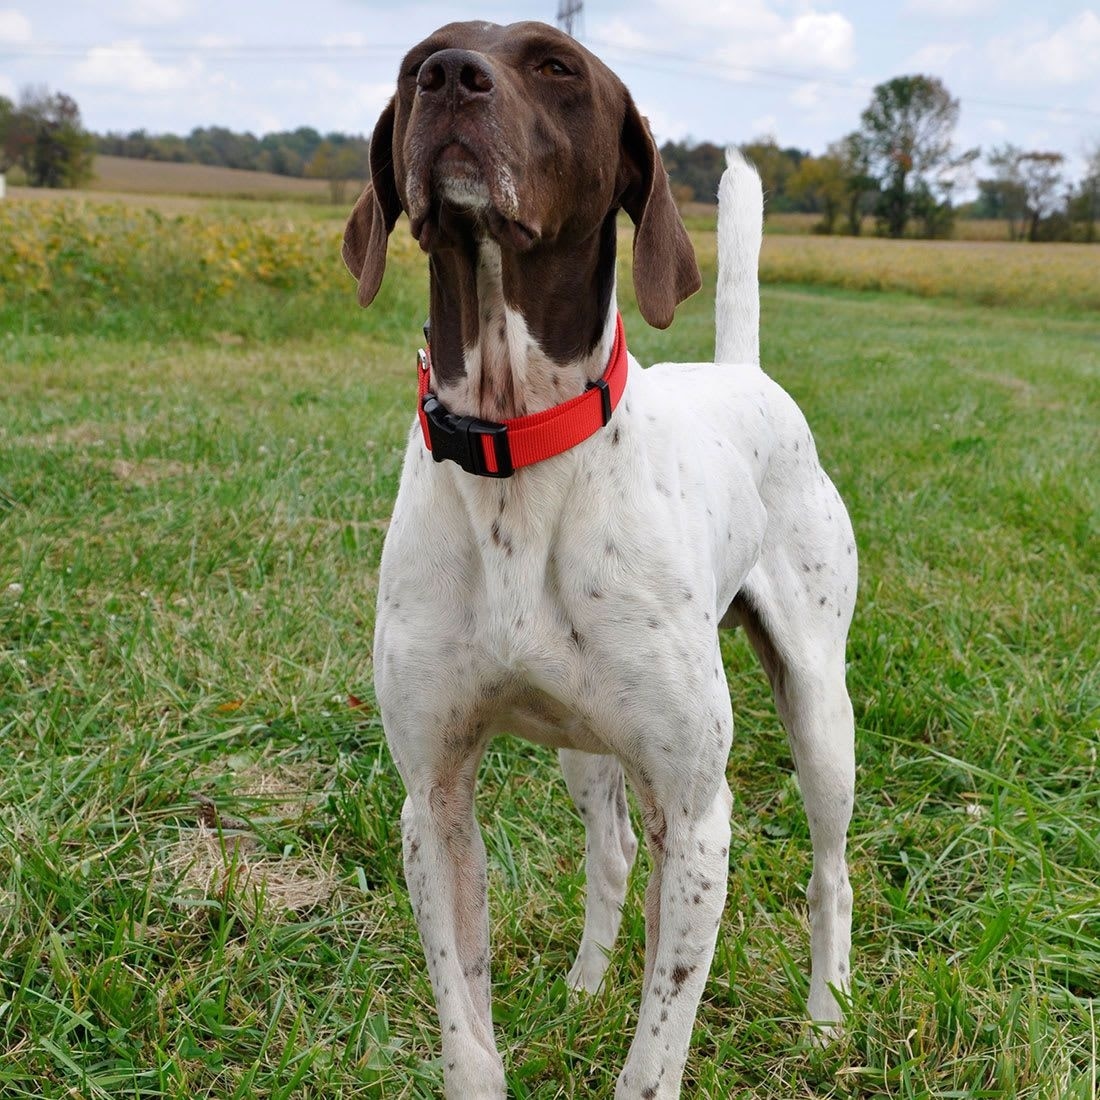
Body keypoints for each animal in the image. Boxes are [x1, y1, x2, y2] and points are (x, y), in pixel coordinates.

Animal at [342, 20, 856, 1099]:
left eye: (555, 67)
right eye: (419, 59)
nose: (449, 78)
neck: (516, 440)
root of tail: (744, 373)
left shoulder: (697, 814)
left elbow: (655, 1053)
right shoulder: (433, 802)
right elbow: (467, 1034)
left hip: (817, 709)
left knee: (828, 867)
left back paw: (829, 1016)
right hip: (586, 747)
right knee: (611, 851)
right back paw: (585, 984)